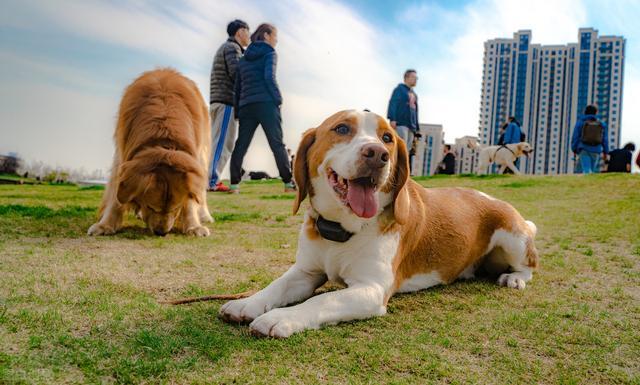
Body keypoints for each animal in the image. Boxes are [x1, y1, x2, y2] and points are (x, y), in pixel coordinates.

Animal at [220, 109, 540, 336]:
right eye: (341, 129)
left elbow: (321, 300)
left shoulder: (371, 289)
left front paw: (280, 318)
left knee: (529, 267)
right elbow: (276, 286)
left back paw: (514, 278)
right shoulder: (305, 272)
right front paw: (248, 303)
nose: (377, 154)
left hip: (513, 238)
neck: (341, 229)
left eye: (387, 138)